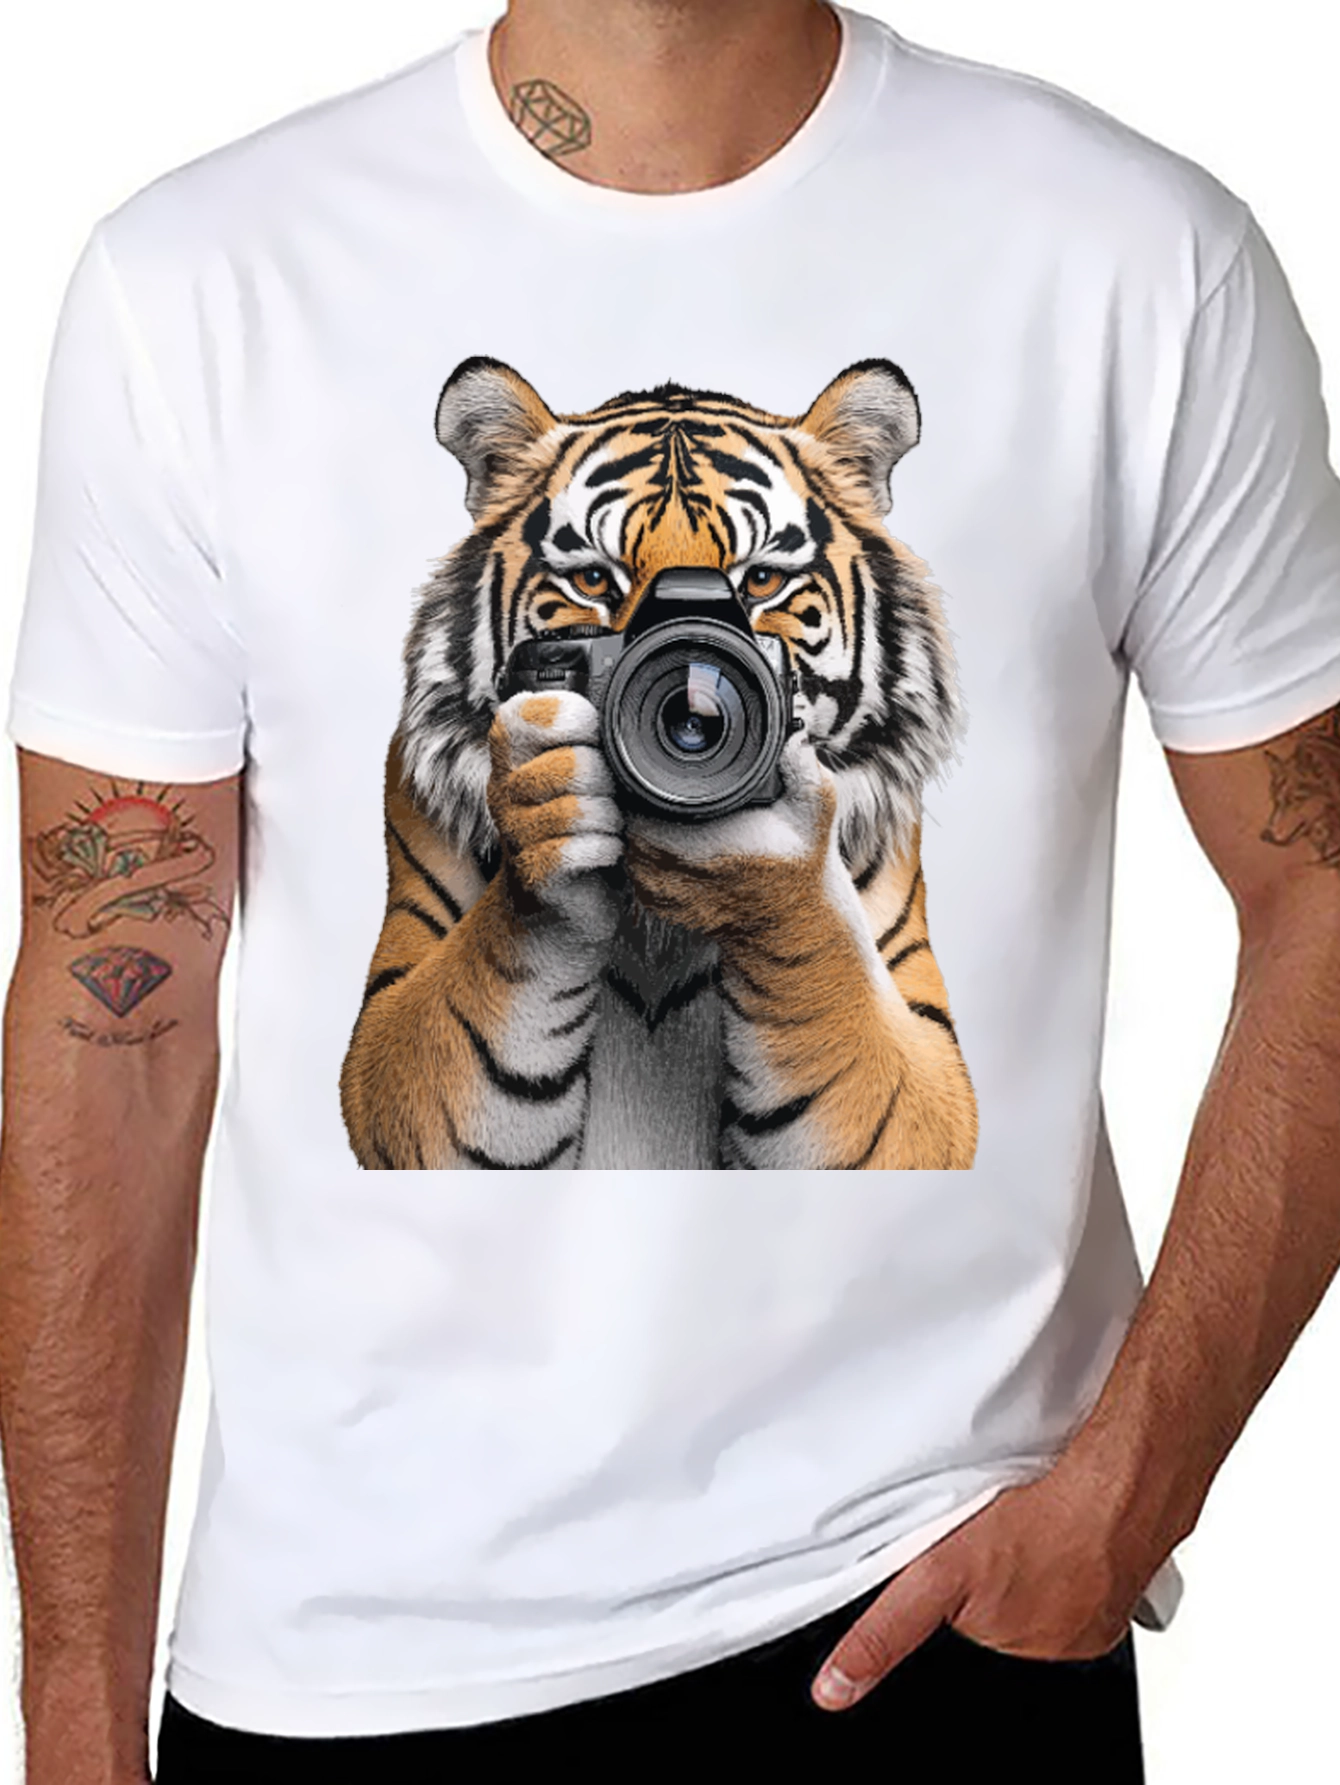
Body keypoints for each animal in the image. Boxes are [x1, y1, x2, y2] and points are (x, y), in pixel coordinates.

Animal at [337, 356, 979, 1170]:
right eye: (592, 581)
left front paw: (772, 887)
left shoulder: (925, 1080)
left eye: (762, 581)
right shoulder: (396, 1047)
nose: (694, 717)